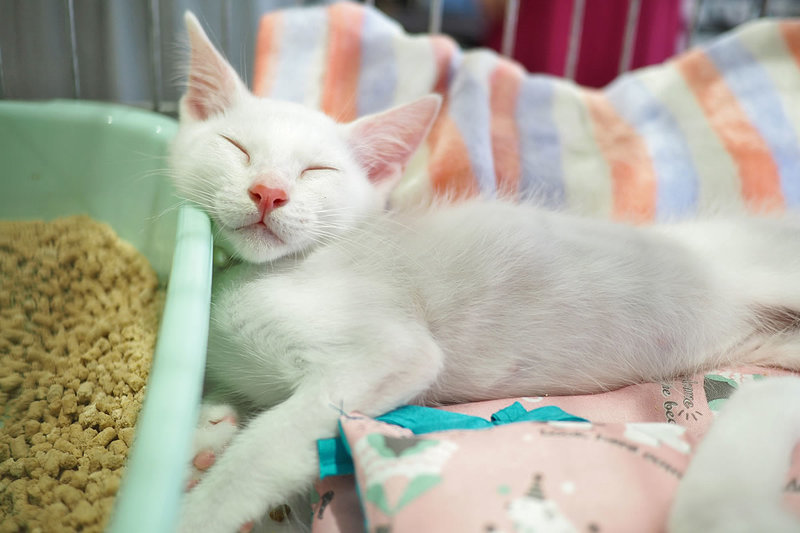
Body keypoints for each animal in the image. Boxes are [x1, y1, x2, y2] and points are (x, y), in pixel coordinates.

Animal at [170, 12, 800, 533]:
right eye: (236, 147)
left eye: (316, 171)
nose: (268, 192)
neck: (249, 272)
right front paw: (205, 433)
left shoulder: (389, 354)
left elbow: (271, 442)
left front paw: (194, 511)